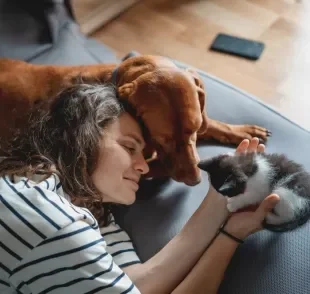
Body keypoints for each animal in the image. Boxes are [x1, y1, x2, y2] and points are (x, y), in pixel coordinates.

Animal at [0, 55, 268, 186]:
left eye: (192, 129)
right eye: (162, 138)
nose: (195, 181)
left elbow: (208, 122)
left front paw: (242, 130)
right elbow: (158, 167)